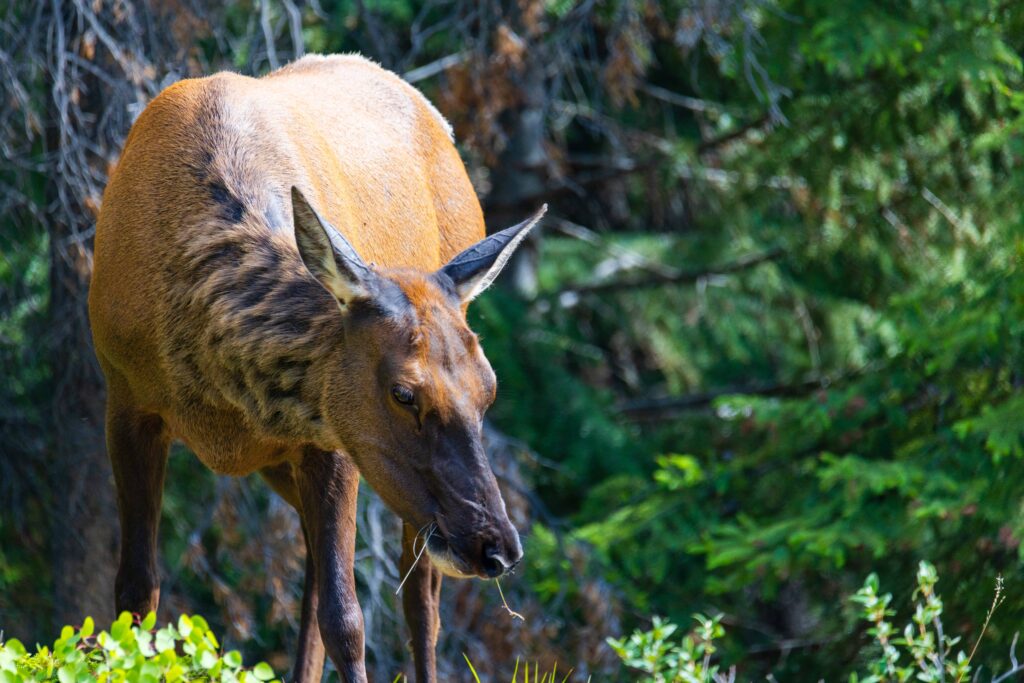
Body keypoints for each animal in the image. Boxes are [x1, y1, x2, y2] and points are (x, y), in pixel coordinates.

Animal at [87, 54, 545, 683]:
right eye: (404, 393)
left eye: (489, 391)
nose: (497, 547)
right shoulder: (124, 398)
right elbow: (135, 591)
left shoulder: (333, 436)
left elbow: (347, 617)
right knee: (322, 576)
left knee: (418, 595)